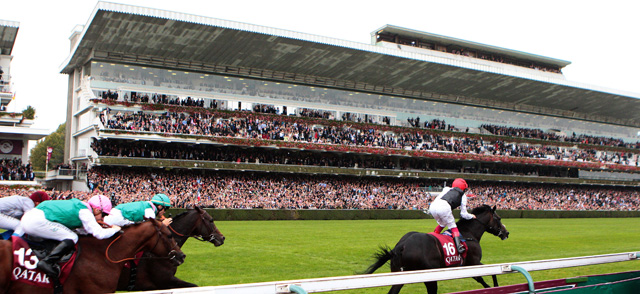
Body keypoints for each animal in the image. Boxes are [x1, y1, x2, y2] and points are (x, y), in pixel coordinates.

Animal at [364, 204, 510, 294]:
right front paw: (495, 287)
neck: (469, 234)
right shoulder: (473, 262)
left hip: (400, 275)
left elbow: (481, 277)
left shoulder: (466, 265)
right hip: (429, 276)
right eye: (499, 218)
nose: (506, 233)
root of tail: (401, 245)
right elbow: (490, 274)